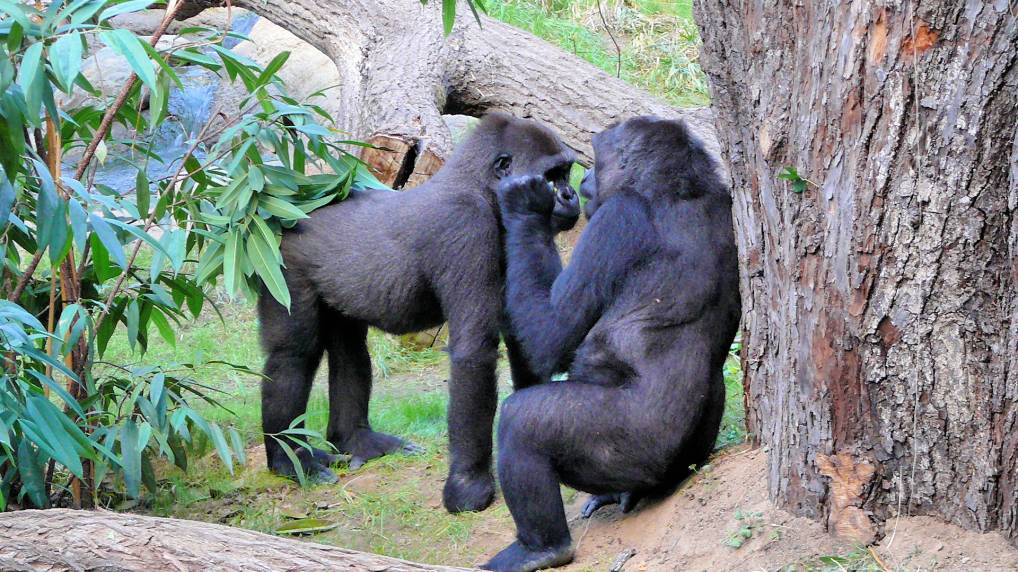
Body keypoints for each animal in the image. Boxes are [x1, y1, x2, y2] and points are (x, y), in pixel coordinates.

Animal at [260, 112, 582, 512]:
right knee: (293, 355)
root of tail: (293, 207)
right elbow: (474, 353)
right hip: (282, 260)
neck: (480, 187)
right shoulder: (466, 225)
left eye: (566, 173)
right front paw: (468, 485)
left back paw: (355, 440)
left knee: (349, 349)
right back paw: (287, 459)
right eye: (553, 176)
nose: (571, 195)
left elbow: (530, 334)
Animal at [482, 117, 741, 569]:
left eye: (595, 158)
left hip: (631, 451)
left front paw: (526, 208)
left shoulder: (616, 217)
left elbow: (550, 336)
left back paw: (542, 547)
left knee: (522, 422)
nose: (581, 182)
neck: (674, 190)